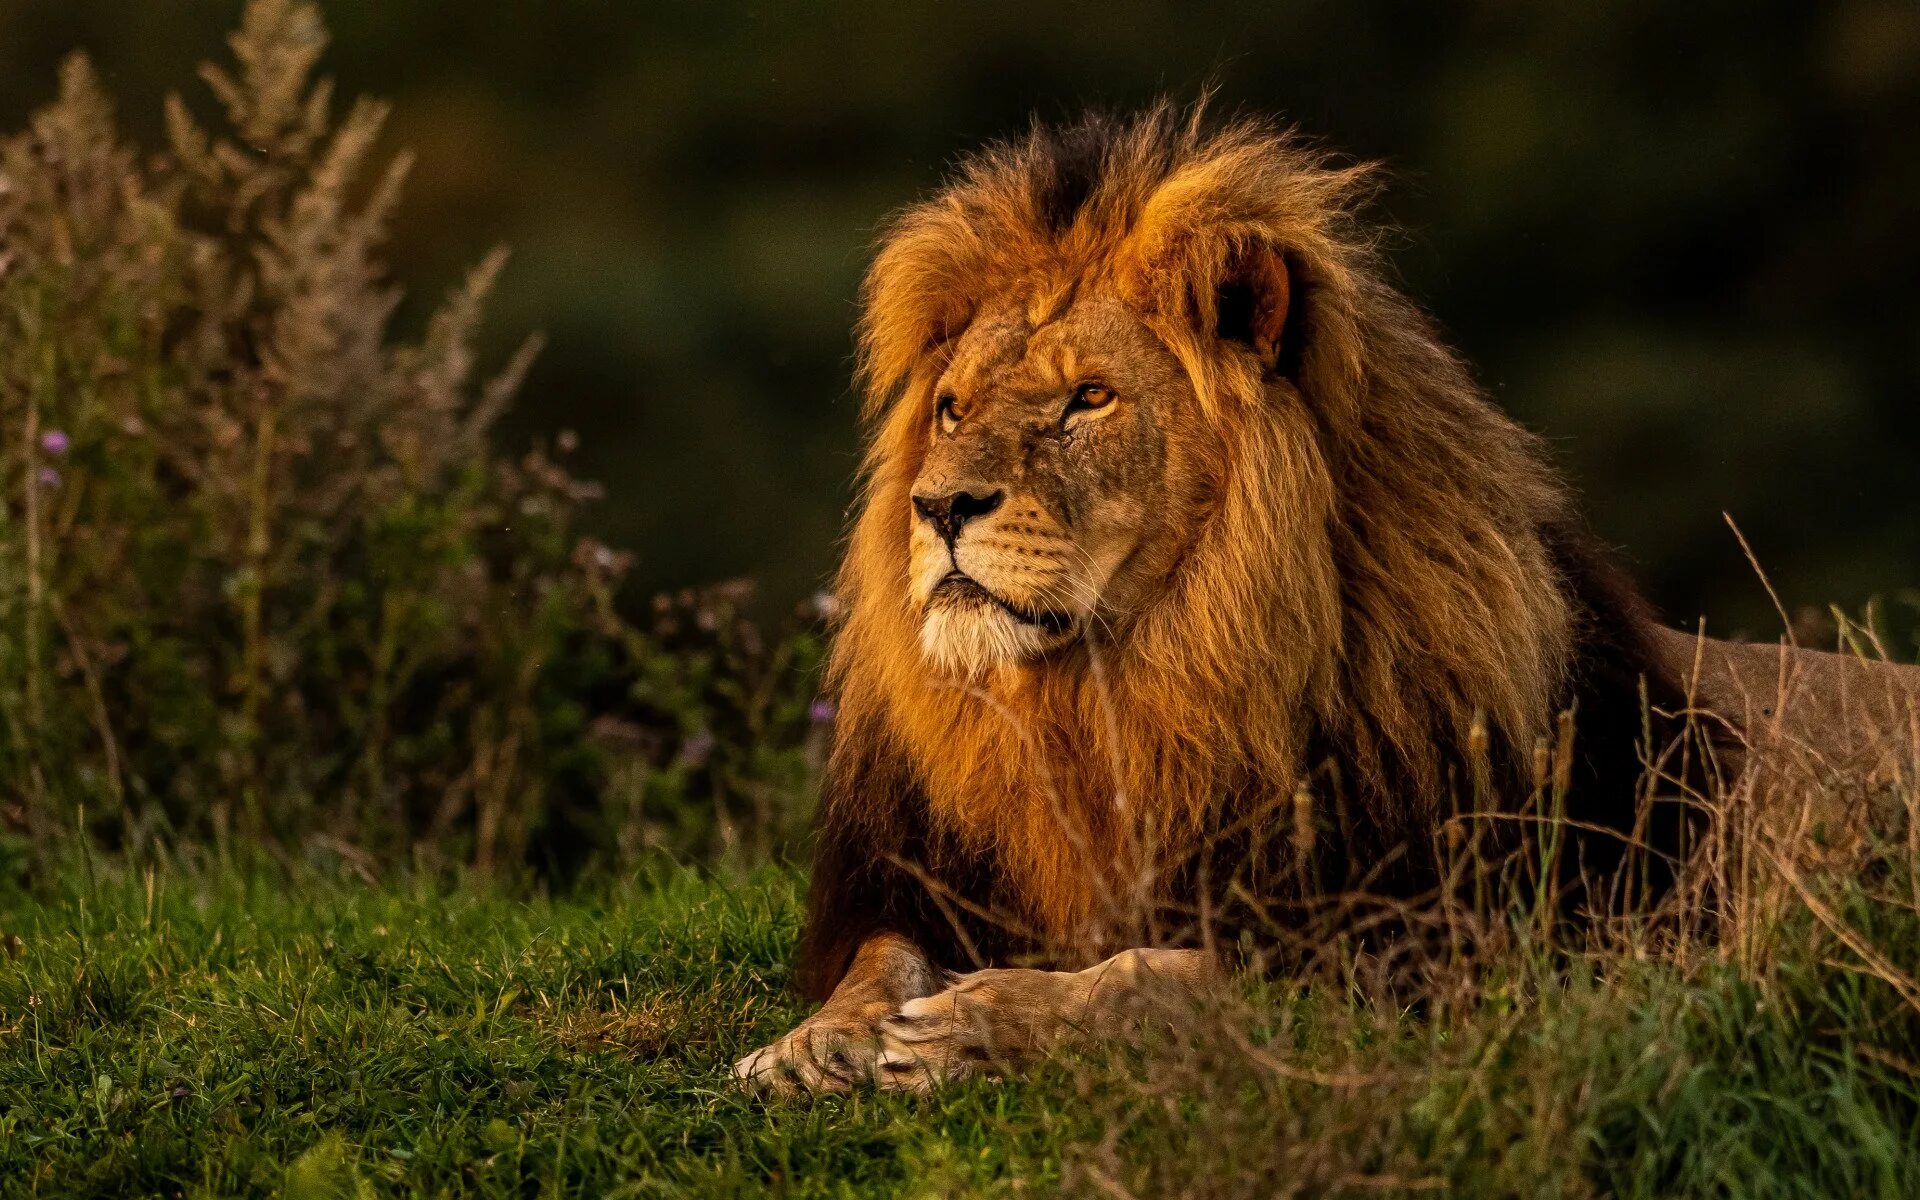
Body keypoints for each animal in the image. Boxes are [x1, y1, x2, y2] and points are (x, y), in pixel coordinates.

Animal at [733, 105, 1920, 1098]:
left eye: (1089, 399)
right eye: (950, 408)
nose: (939, 506)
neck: (1116, 696)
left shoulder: (1465, 944)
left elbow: (1164, 976)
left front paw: (984, 1019)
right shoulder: (915, 875)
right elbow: (878, 957)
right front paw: (815, 1041)